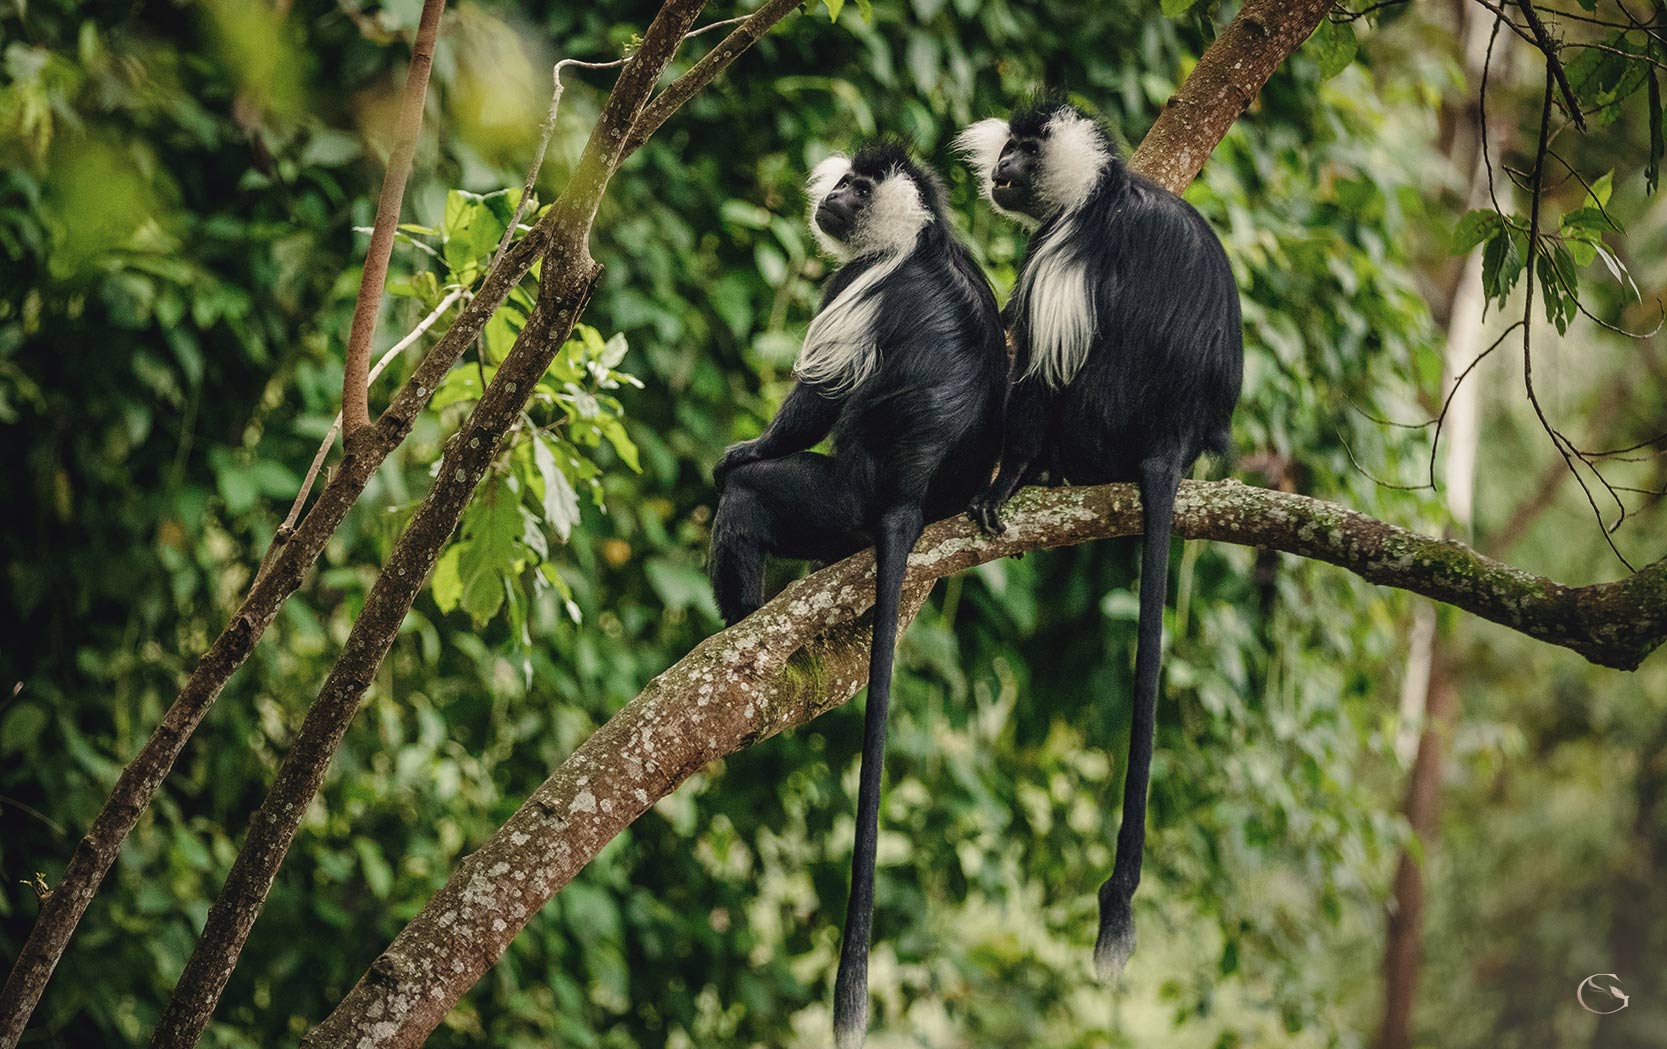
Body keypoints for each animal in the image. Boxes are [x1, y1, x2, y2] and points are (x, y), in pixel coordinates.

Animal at [706, 143, 1000, 1040]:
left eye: (858, 188)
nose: (832, 195)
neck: (919, 236)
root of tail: (904, 495)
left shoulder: (856, 283)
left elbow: (813, 400)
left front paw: (742, 448)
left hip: (834, 500)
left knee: (754, 502)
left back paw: (737, 620)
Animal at [960, 102, 1246, 980]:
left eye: (1022, 152)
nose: (999, 171)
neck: (1098, 190)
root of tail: (1169, 436)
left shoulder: (1061, 252)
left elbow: (1037, 376)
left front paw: (1002, 482)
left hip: (1098, 421)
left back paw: (1043, 472)